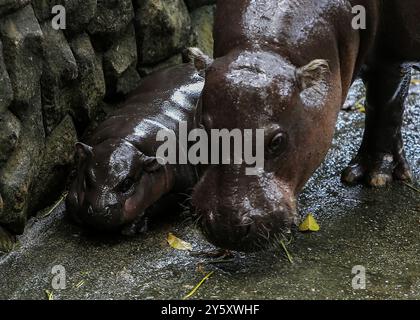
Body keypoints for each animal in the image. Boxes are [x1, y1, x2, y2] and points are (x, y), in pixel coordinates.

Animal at [66, 58, 205, 231]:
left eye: (127, 184)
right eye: (87, 178)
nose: (99, 210)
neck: (126, 140)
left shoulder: (184, 183)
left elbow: (165, 202)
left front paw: (135, 226)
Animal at [191, 0, 420, 250]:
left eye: (277, 141)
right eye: (203, 130)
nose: (227, 227)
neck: (264, 48)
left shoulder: (390, 59)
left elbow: (385, 107)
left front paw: (375, 176)